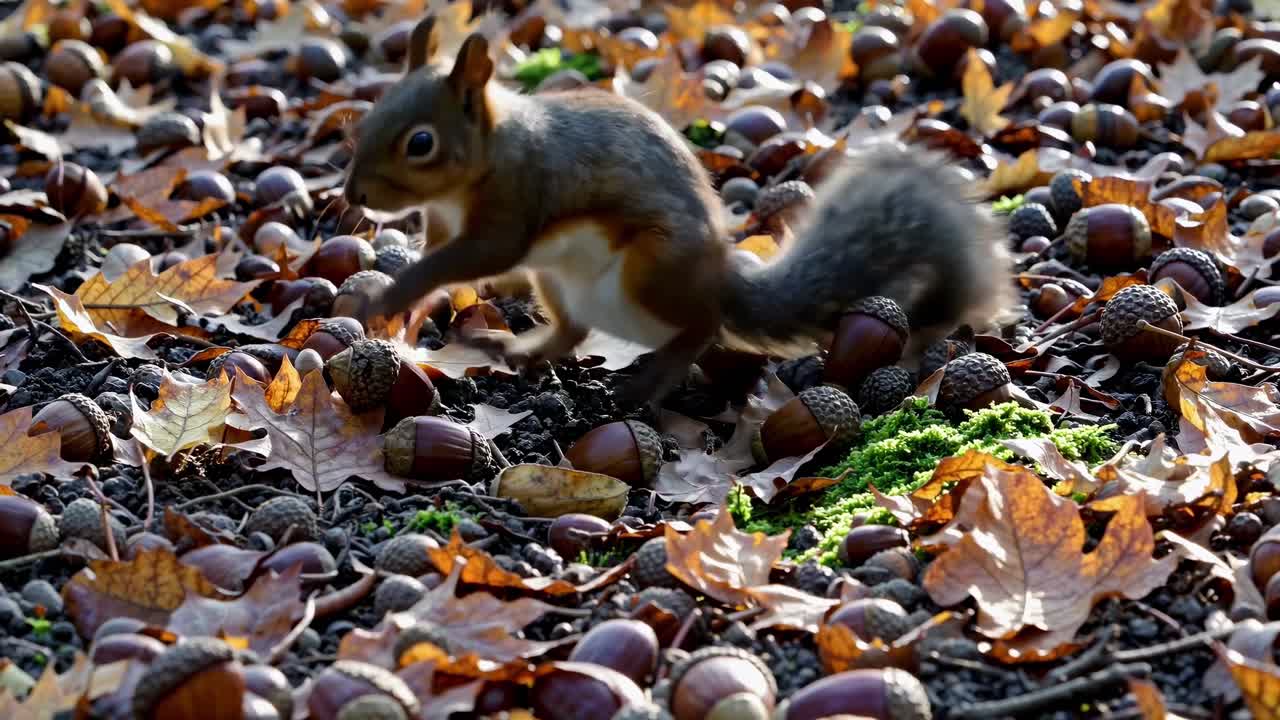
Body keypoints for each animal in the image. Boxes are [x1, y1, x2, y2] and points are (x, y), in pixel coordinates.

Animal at [343, 15, 1017, 406]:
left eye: (421, 142)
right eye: (371, 115)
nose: (353, 195)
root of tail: (720, 279)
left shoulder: (517, 199)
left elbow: (466, 259)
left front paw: (391, 294)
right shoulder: (446, 225)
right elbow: (437, 258)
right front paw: (395, 298)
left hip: (653, 268)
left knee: (700, 327)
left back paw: (651, 379)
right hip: (556, 279)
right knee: (574, 330)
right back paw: (520, 349)